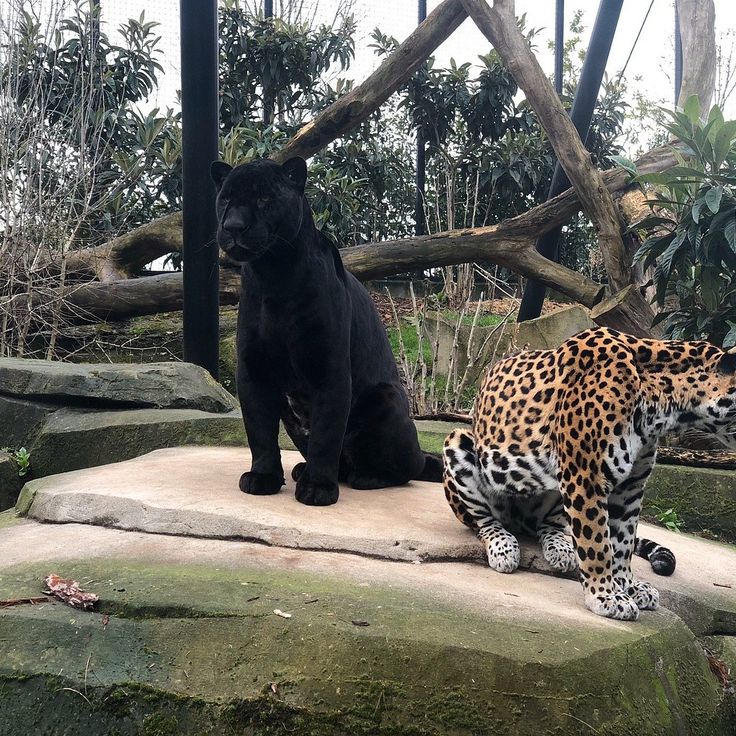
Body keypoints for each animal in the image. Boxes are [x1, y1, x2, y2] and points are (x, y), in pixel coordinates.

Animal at [443, 326, 736, 621]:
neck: (666, 405)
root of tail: (519, 523)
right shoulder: (586, 476)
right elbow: (597, 543)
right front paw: (605, 597)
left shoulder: (631, 486)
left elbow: (623, 541)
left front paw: (628, 586)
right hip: (458, 442)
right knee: (485, 522)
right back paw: (504, 547)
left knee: (549, 527)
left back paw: (561, 549)